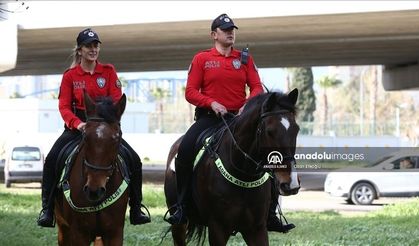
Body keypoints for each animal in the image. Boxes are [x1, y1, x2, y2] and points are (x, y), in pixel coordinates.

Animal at [55, 92, 130, 246]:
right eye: (85, 136)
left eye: (116, 138)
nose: (94, 191)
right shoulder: (79, 234)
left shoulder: (114, 233)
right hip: (63, 228)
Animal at [164, 89, 302, 245]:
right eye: (270, 131)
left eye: (296, 130)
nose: (291, 184)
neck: (243, 174)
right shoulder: (218, 228)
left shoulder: (257, 229)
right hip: (178, 224)